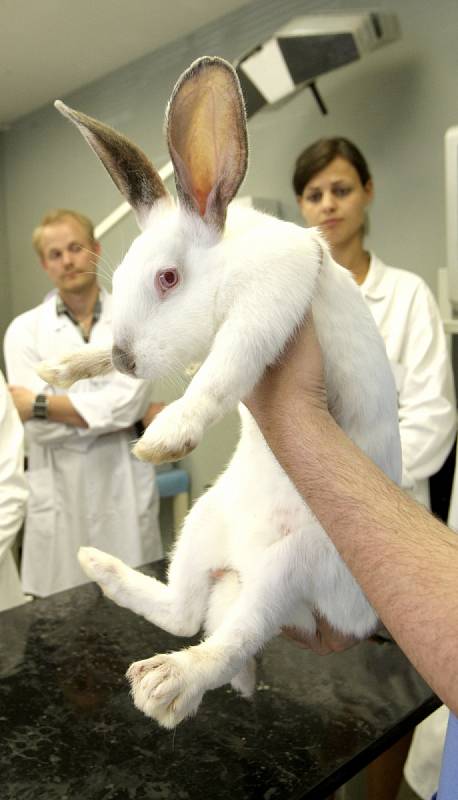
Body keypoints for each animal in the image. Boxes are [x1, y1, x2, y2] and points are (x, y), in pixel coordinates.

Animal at [39, 57, 400, 732]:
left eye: (168, 278)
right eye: (120, 278)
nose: (126, 359)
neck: (230, 263)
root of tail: (237, 569)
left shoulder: (267, 305)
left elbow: (222, 369)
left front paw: (166, 436)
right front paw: (67, 365)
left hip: (293, 566)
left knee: (227, 641)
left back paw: (167, 685)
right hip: (202, 526)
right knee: (182, 612)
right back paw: (98, 566)